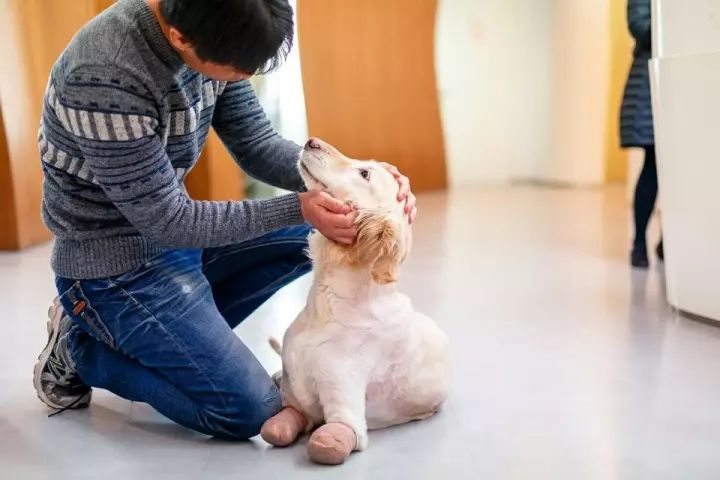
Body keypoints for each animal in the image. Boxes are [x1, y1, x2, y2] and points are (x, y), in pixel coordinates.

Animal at [258, 138, 450, 464]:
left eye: (364, 173)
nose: (311, 141)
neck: (326, 306)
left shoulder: (342, 399)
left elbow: (337, 435)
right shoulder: (295, 394)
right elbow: (282, 420)